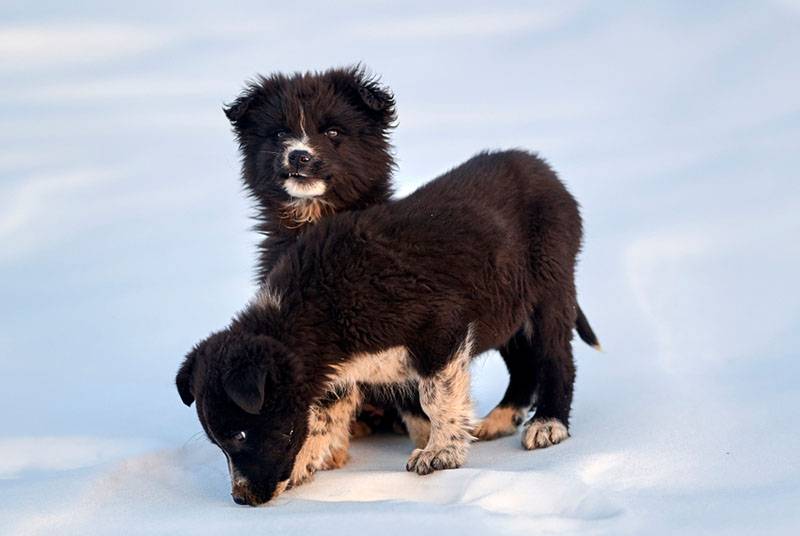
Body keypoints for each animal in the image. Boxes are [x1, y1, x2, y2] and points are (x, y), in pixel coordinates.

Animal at [178, 149, 592, 504]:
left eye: (240, 435)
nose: (241, 500)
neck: (316, 309)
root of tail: (542, 168)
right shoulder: (337, 375)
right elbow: (320, 420)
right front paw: (303, 467)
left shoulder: (441, 327)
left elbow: (436, 397)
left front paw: (440, 452)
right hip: (506, 309)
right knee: (523, 363)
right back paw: (501, 419)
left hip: (548, 286)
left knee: (557, 358)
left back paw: (548, 423)